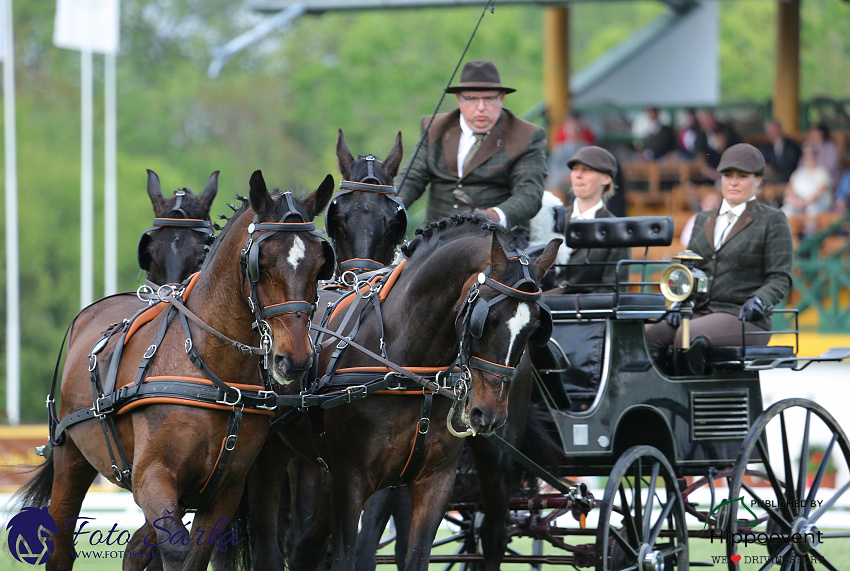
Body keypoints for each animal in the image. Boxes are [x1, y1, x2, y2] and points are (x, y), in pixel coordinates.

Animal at [15, 170, 334, 571]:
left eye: (320, 264)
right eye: (261, 263)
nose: (295, 359)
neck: (212, 373)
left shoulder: (224, 492)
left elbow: (193, 554)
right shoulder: (152, 478)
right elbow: (176, 549)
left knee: (136, 548)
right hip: (71, 458)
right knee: (61, 546)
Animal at [274, 216, 560, 571]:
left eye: (534, 328)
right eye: (487, 319)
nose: (489, 414)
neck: (410, 367)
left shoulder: (435, 482)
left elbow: (415, 557)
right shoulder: (351, 479)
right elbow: (348, 556)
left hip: (496, 458)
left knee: (494, 529)